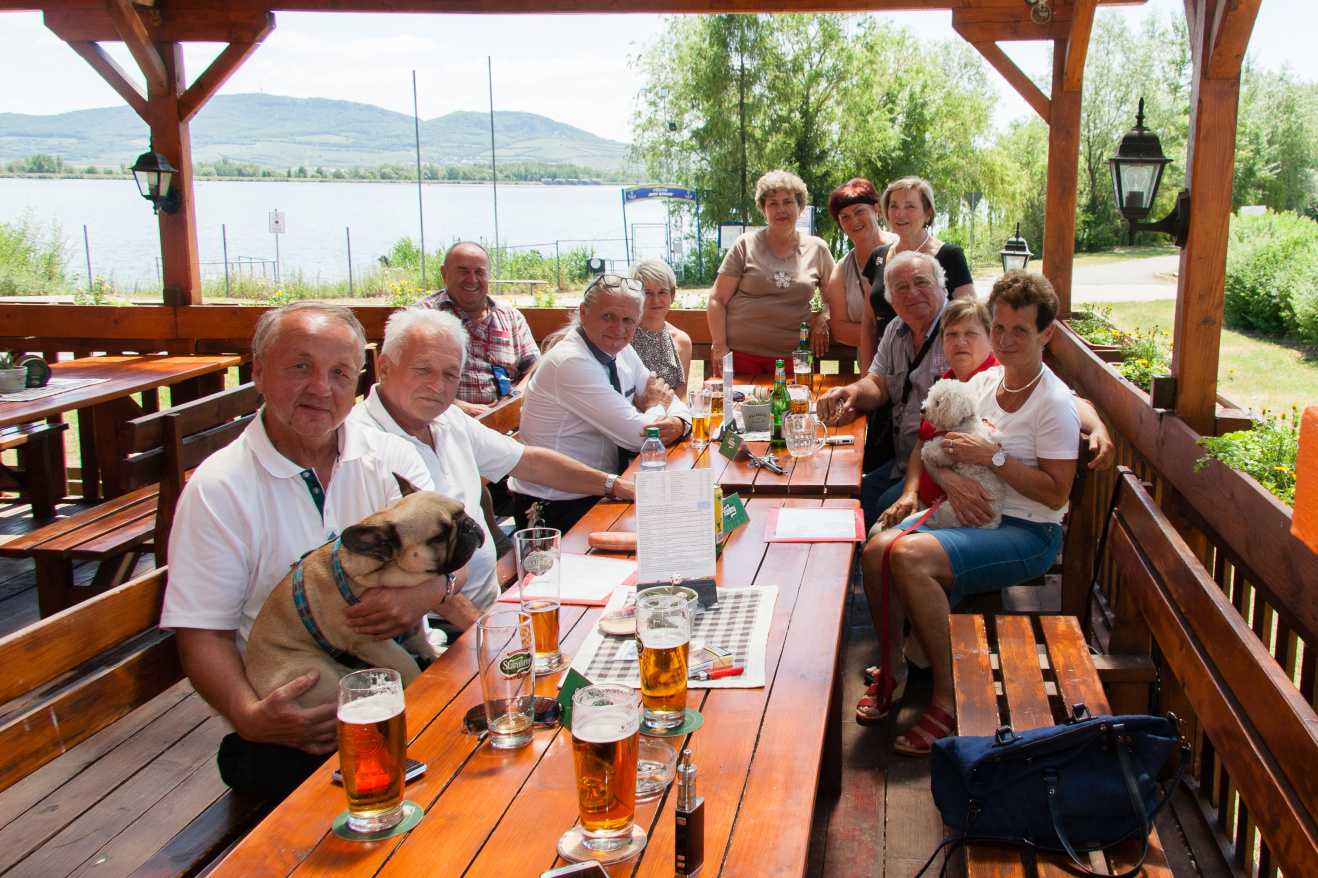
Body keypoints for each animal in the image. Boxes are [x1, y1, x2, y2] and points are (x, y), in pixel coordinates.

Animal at [244, 475, 485, 708]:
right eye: (440, 535)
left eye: (463, 509)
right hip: (316, 672)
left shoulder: (411, 609)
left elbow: (417, 636)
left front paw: (429, 651)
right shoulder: (373, 644)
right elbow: (406, 663)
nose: (469, 524)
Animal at [919, 379, 1006, 530]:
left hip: (950, 509)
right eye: (930, 396)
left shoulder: (949, 450)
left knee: (943, 523)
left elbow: (931, 450)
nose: (922, 409)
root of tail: (990, 526)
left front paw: (926, 450)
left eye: (938, 402)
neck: (963, 422)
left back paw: (931, 522)